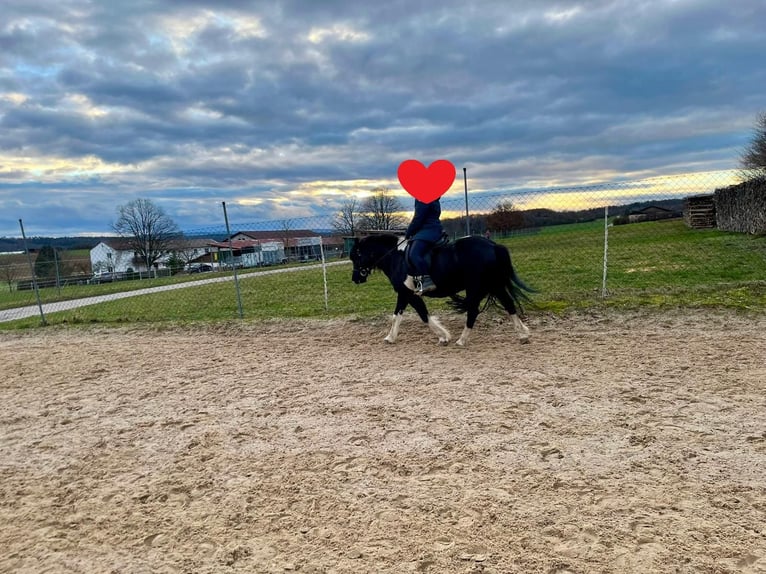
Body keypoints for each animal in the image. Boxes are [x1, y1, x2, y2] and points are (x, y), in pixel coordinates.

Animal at [352, 233, 536, 346]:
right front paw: (390, 337)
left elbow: (423, 315)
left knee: (474, 310)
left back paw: (462, 340)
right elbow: (397, 315)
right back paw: (523, 335)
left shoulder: (409, 294)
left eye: (356, 256)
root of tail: (493, 245)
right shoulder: (404, 294)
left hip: (476, 287)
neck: (395, 257)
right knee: (509, 304)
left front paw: (443, 336)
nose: (355, 279)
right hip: (494, 285)